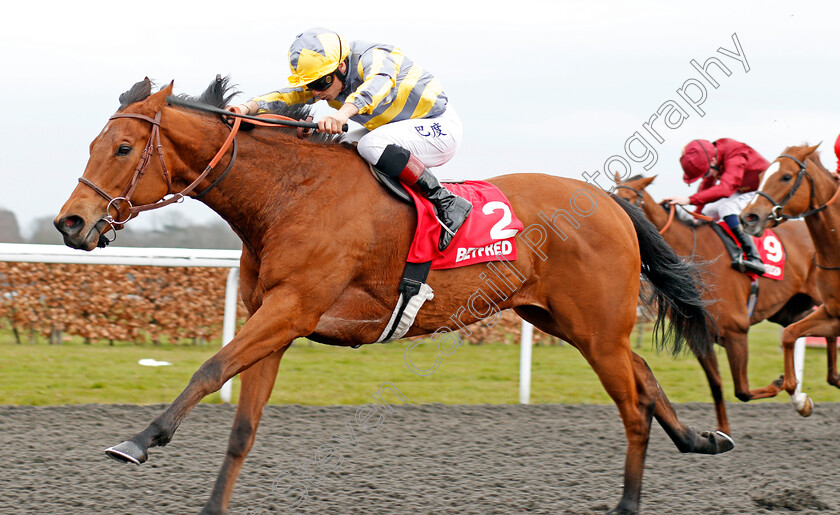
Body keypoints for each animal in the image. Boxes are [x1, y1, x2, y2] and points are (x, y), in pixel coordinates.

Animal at [55, 77, 732, 515]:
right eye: (92, 145)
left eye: (121, 147)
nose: (70, 222)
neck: (289, 193)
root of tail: (611, 203)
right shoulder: (273, 321)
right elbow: (242, 427)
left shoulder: (291, 310)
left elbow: (207, 369)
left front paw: (138, 441)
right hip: (569, 321)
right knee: (643, 373)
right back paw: (703, 439)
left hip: (594, 327)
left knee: (633, 408)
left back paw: (631, 500)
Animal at [612, 176, 824, 432]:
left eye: (629, 199)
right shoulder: (699, 338)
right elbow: (716, 385)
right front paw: (723, 431)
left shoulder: (736, 332)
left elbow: (742, 390)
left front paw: (781, 382)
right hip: (788, 308)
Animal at [740, 145, 840, 412]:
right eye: (761, 174)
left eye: (786, 177)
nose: (748, 217)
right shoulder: (832, 312)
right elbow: (790, 334)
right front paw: (799, 399)